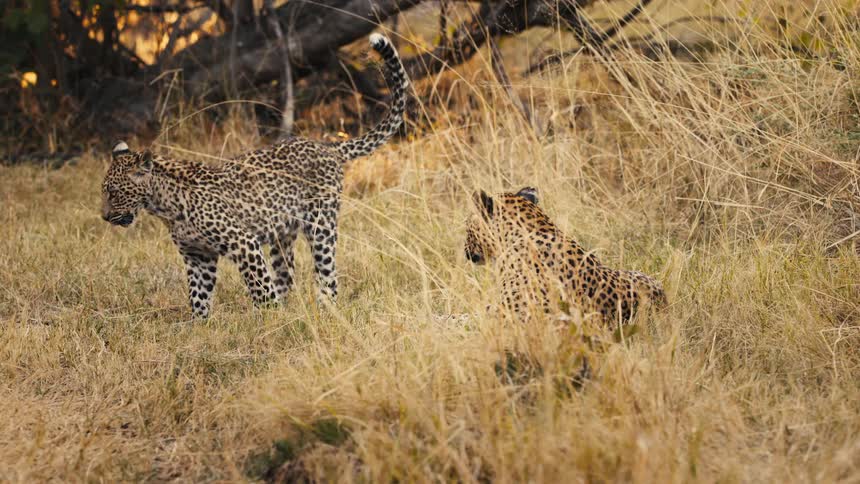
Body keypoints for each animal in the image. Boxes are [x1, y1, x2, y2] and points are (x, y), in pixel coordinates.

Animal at [100, 34, 409, 318]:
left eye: (114, 192)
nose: (103, 216)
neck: (164, 207)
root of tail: (326, 146)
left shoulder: (243, 243)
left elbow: (261, 288)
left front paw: (270, 320)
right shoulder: (198, 256)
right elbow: (199, 297)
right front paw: (197, 326)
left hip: (321, 225)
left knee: (327, 273)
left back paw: (324, 310)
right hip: (282, 234)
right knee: (286, 275)